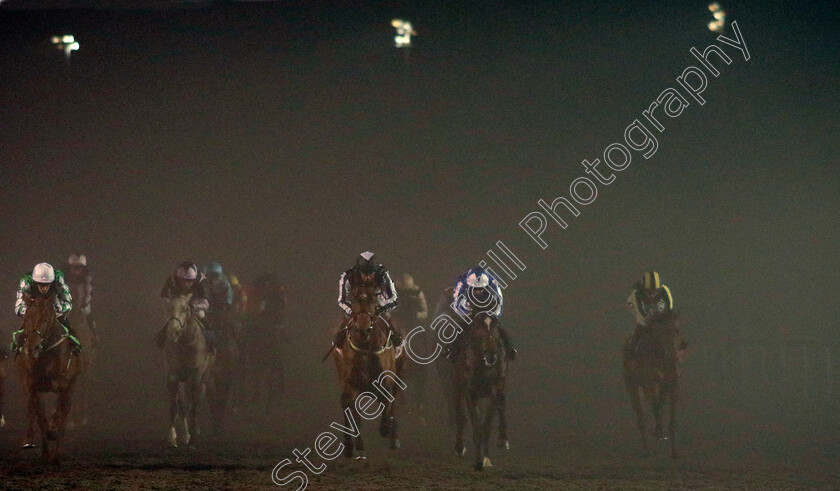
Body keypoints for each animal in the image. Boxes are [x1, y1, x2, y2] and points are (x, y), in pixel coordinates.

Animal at [14, 294, 82, 464]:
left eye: (45, 320)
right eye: (27, 318)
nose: (31, 349)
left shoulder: (64, 385)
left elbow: (59, 414)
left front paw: (53, 432)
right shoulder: (32, 385)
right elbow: (39, 416)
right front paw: (41, 449)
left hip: (72, 385)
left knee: (64, 412)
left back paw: (57, 452)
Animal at [161, 296, 213, 450]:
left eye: (185, 309)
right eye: (169, 308)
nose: (173, 331)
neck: (184, 343)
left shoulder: (195, 375)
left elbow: (193, 406)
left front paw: (193, 440)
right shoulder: (173, 374)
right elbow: (175, 406)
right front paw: (172, 438)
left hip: (203, 380)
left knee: (196, 403)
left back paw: (194, 433)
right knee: (184, 404)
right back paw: (186, 436)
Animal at [332, 282, 404, 460]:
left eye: (372, 299)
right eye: (353, 299)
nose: (363, 329)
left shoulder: (387, 379)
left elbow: (388, 401)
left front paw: (387, 428)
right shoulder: (352, 384)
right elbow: (354, 413)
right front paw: (358, 448)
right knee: (345, 403)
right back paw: (349, 447)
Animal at [450, 314, 508, 470]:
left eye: (496, 327)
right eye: (478, 328)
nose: (491, 353)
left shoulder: (494, 390)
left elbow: (486, 426)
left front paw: (486, 459)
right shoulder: (470, 392)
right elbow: (476, 426)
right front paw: (477, 461)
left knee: (502, 406)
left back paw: (503, 439)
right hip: (458, 385)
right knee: (459, 414)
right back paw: (459, 447)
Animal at [620, 312, 684, 458]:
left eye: (676, 331)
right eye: (660, 333)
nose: (671, 354)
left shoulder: (672, 384)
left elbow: (669, 413)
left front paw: (674, 452)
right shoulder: (648, 382)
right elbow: (656, 405)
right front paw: (658, 432)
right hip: (632, 386)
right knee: (640, 417)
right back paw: (646, 450)